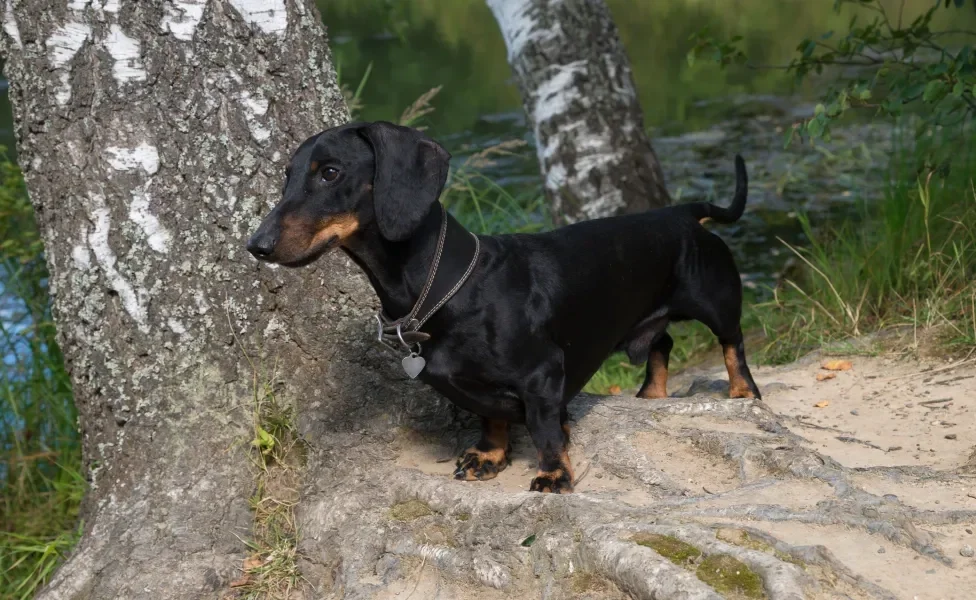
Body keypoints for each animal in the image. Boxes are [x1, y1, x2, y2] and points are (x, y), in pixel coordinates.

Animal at [246, 120, 764, 492]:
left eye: (330, 172)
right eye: (288, 176)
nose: (257, 246)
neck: (448, 285)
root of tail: (679, 212)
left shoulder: (542, 373)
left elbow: (545, 428)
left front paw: (553, 473)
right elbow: (491, 419)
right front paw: (489, 457)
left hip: (715, 301)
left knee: (732, 343)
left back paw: (742, 392)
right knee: (663, 342)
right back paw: (651, 395)